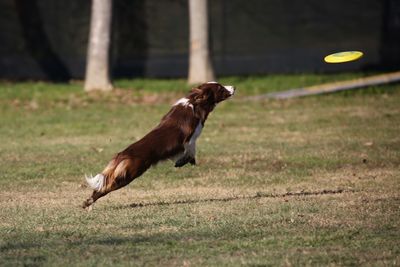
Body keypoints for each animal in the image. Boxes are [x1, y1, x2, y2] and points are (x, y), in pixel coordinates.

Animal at [83, 81, 236, 209]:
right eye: (220, 88)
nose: (234, 87)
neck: (194, 103)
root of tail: (122, 155)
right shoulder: (189, 139)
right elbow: (191, 149)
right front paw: (184, 161)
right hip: (129, 174)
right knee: (104, 188)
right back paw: (88, 203)